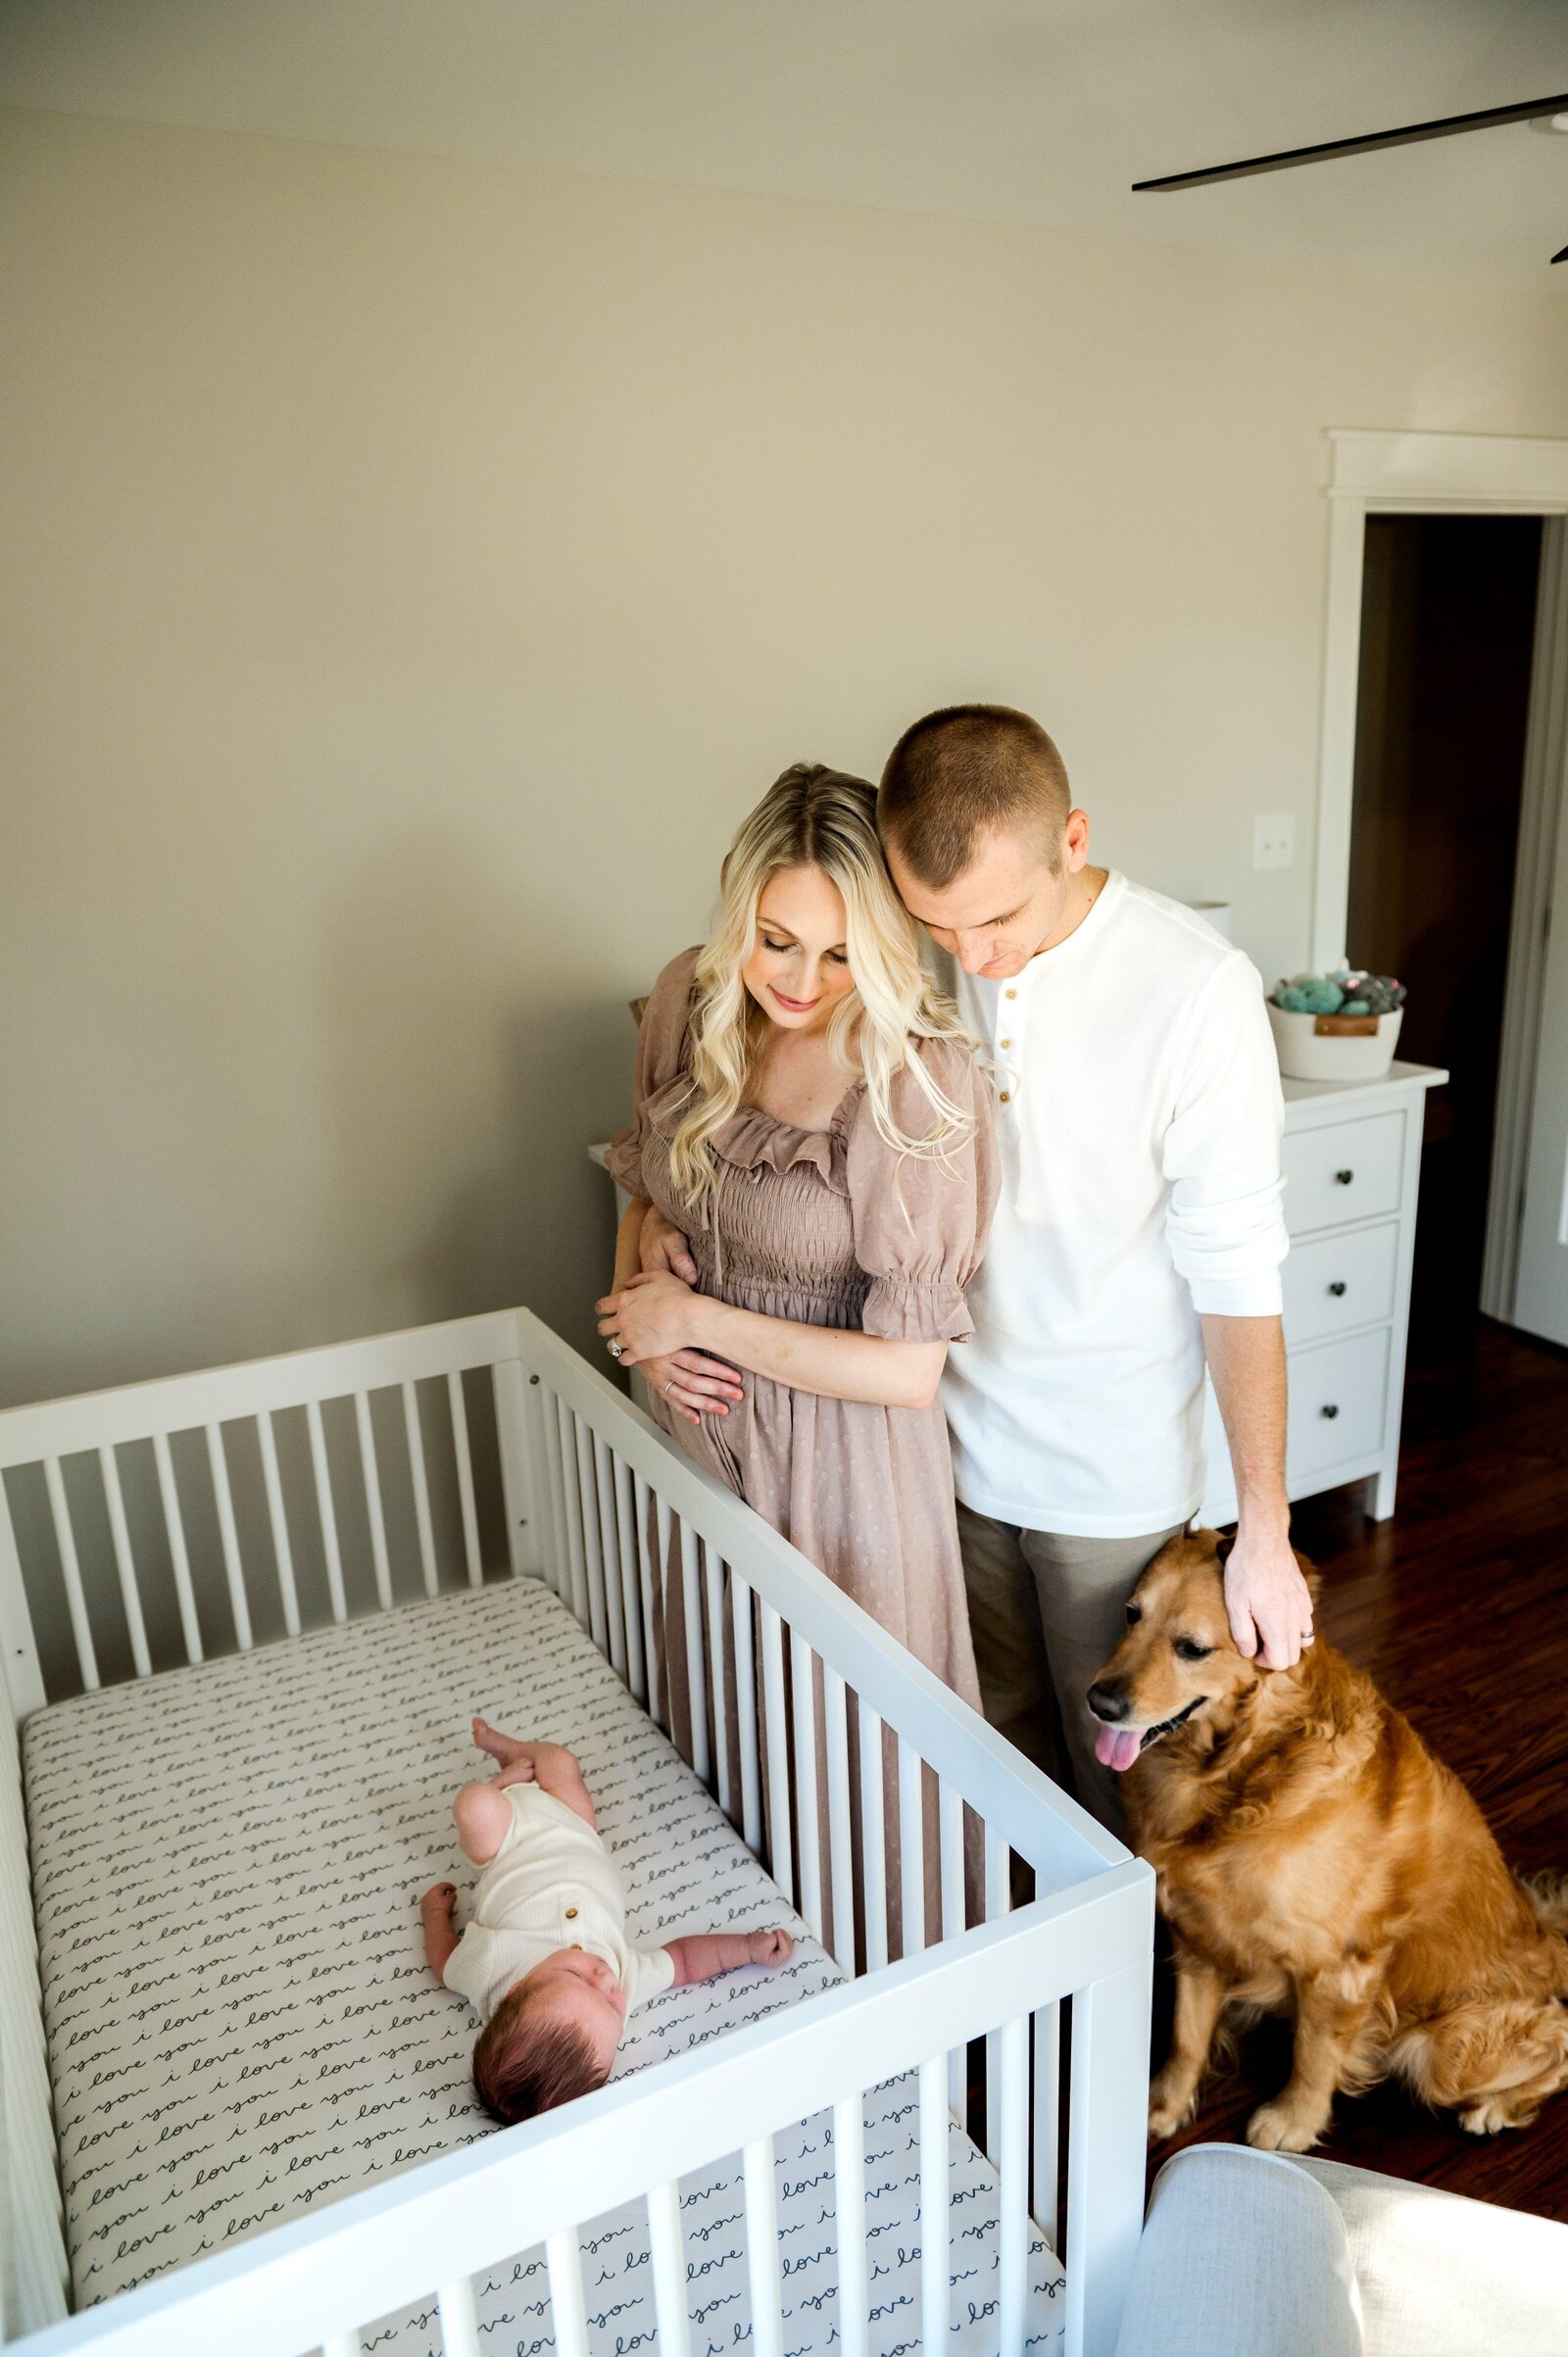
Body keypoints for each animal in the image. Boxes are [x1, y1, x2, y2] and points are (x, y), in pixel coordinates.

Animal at [1084, 1527, 1565, 2158]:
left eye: (1192, 1648)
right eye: (1130, 1614)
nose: (1100, 1702)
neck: (1244, 1766)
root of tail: (1550, 1940)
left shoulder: (1339, 1969)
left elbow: (1313, 2055)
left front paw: (1291, 2123)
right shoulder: (1198, 1938)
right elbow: (1186, 2036)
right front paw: (1162, 2106)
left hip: (1448, 2052)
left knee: (1558, 2046)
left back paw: (1493, 2109)